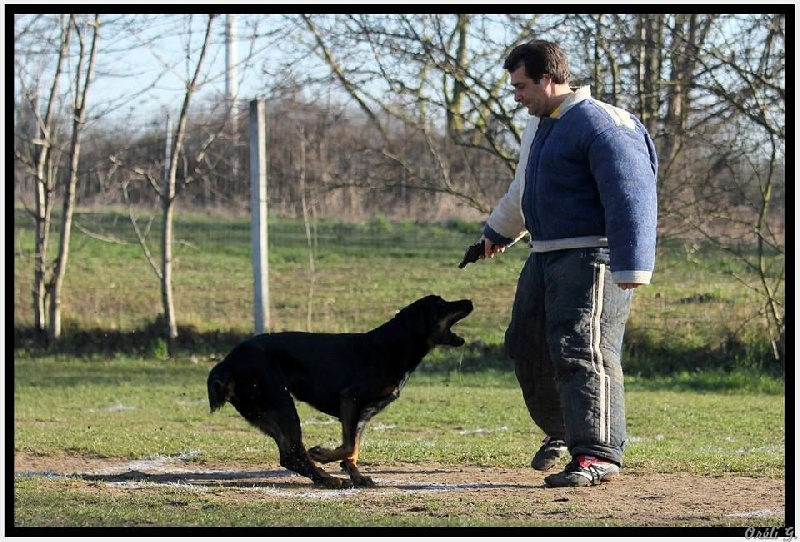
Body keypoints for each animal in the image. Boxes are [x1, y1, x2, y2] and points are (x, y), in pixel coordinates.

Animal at [207, 294, 473, 489]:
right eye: (441, 304)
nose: (469, 301)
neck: (394, 346)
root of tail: (228, 362)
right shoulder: (350, 400)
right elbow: (347, 446)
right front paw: (323, 454)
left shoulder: (363, 413)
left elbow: (353, 447)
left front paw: (356, 475)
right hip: (280, 403)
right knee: (294, 452)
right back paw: (329, 479)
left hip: (265, 410)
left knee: (289, 455)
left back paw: (326, 478)